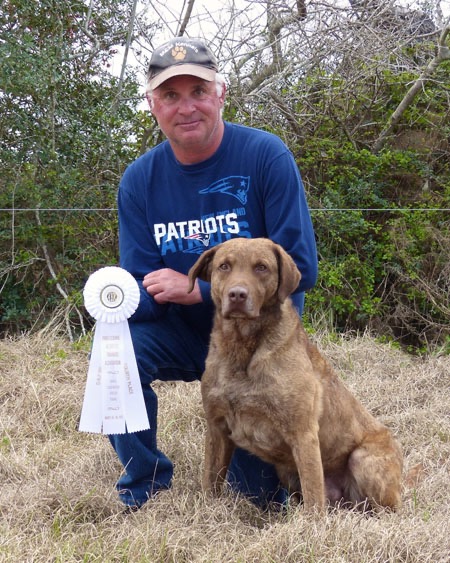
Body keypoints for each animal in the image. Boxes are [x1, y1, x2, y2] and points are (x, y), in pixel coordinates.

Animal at [186, 236, 400, 512]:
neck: (243, 349)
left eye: (261, 267)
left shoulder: (304, 434)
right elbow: (210, 481)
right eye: (224, 266)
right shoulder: (217, 428)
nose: (237, 295)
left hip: (363, 460)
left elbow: (314, 500)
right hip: (288, 473)